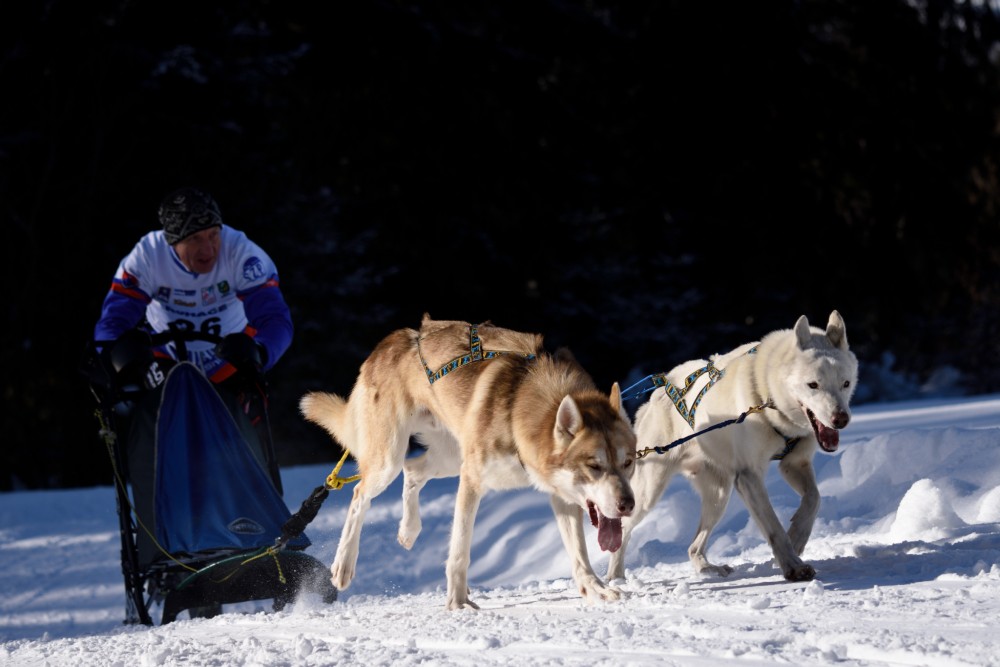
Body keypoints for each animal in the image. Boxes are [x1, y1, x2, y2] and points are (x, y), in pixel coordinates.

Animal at [300, 314, 636, 612]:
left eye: (629, 462)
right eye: (594, 466)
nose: (628, 505)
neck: (519, 408)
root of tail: (395, 339)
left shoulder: (560, 493)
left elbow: (579, 551)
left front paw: (593, 587)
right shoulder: (472, 480)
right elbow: (460, 550)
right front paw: (457, 602)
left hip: (449, 457)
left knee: (413, 470)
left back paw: (409, 529)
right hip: (390, 459)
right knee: (361, 494)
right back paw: (344, 564)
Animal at [604, 310, 856, 580]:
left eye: (846, 383)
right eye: (813, 385)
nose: (841, 419)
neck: (768, 396)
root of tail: (655, 396)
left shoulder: (794, 464)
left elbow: (814, 499)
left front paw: (797, 537)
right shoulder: (749, 477)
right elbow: (774, 527)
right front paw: (793, 565)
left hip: (719, 494)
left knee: (694, 547)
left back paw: (707, 569)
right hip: (649, 492)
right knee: (624, 528)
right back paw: (615, 576)